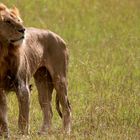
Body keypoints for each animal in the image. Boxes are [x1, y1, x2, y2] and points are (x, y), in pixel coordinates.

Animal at [0, 3, 71, 138]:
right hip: (43, 81)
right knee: (48, 110)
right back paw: (43, 132)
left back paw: (65, 132)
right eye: (7, 21)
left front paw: (22, 136)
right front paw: (5, 136)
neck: (3, 52)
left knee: (67, 108)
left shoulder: (23, 87)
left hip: (59, 79)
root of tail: (58, 36)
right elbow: (3, 118)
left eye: (18, 20)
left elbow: (23, 119)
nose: (23, 30)